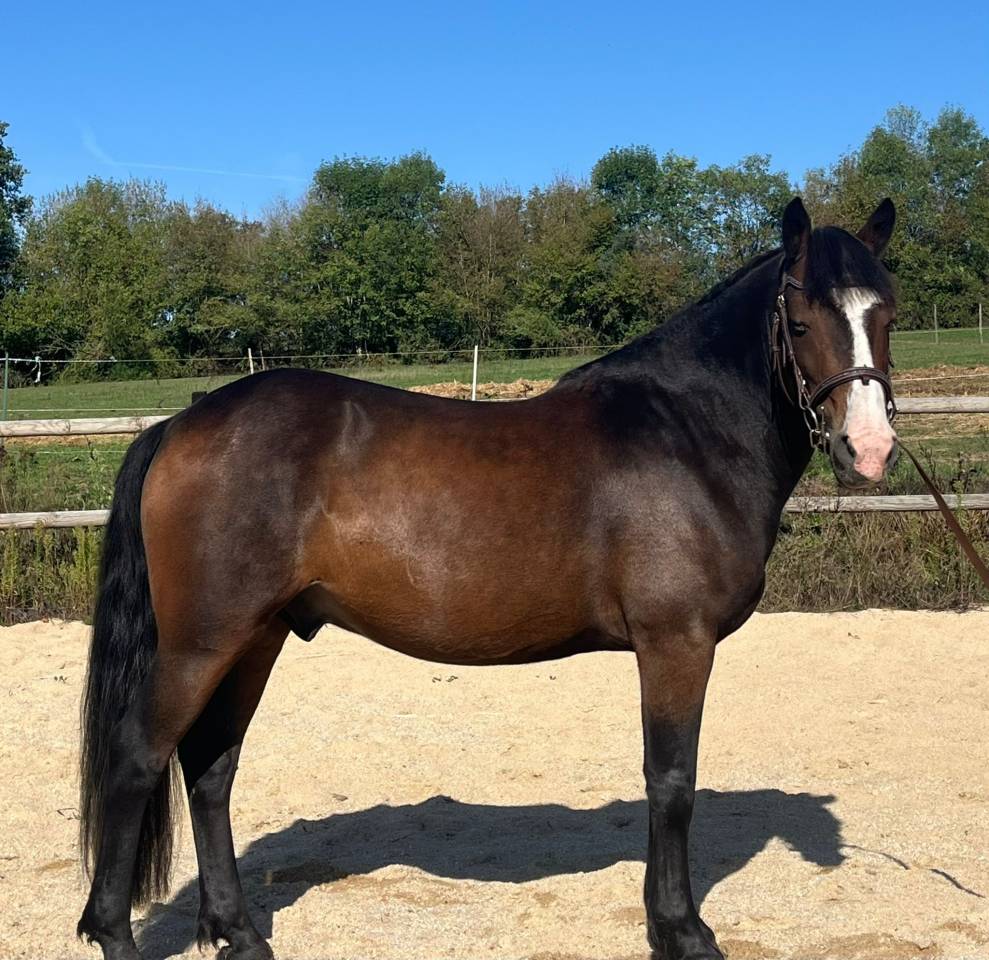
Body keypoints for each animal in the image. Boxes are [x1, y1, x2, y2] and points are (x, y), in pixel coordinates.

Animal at [77, 196, 899, 960]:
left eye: (886, 313)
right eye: (800, 321)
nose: (868, 448)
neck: (685, 434)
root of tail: (179, 426)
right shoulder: (677, 643)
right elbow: (671, 782)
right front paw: (680, 930)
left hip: (257, 638)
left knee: (210, 766)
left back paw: (239, 932)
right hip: (202, 643)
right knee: (137, 759)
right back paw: (114, 932)